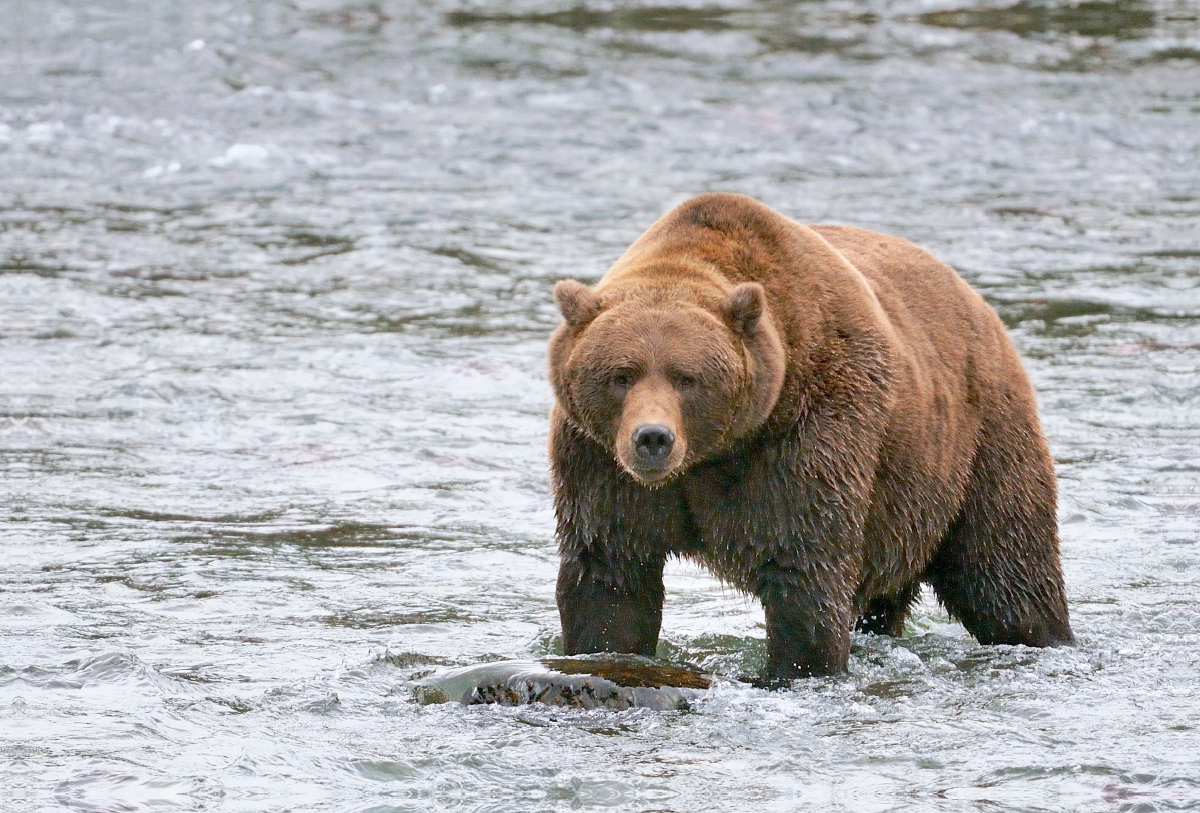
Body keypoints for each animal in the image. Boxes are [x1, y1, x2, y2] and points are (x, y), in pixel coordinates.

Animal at [549, 193, 1075, 681]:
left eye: (686, 377)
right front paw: (605, 651)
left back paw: (1044, 635)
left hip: (976, 444)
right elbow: (611, 573)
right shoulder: (598, 460)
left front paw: (795, 667)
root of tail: (981, 305)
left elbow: (804, 569)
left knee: (1005, 566)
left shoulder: (811, 430)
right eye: (622, 374)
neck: (715, 453)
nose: (653, 438)